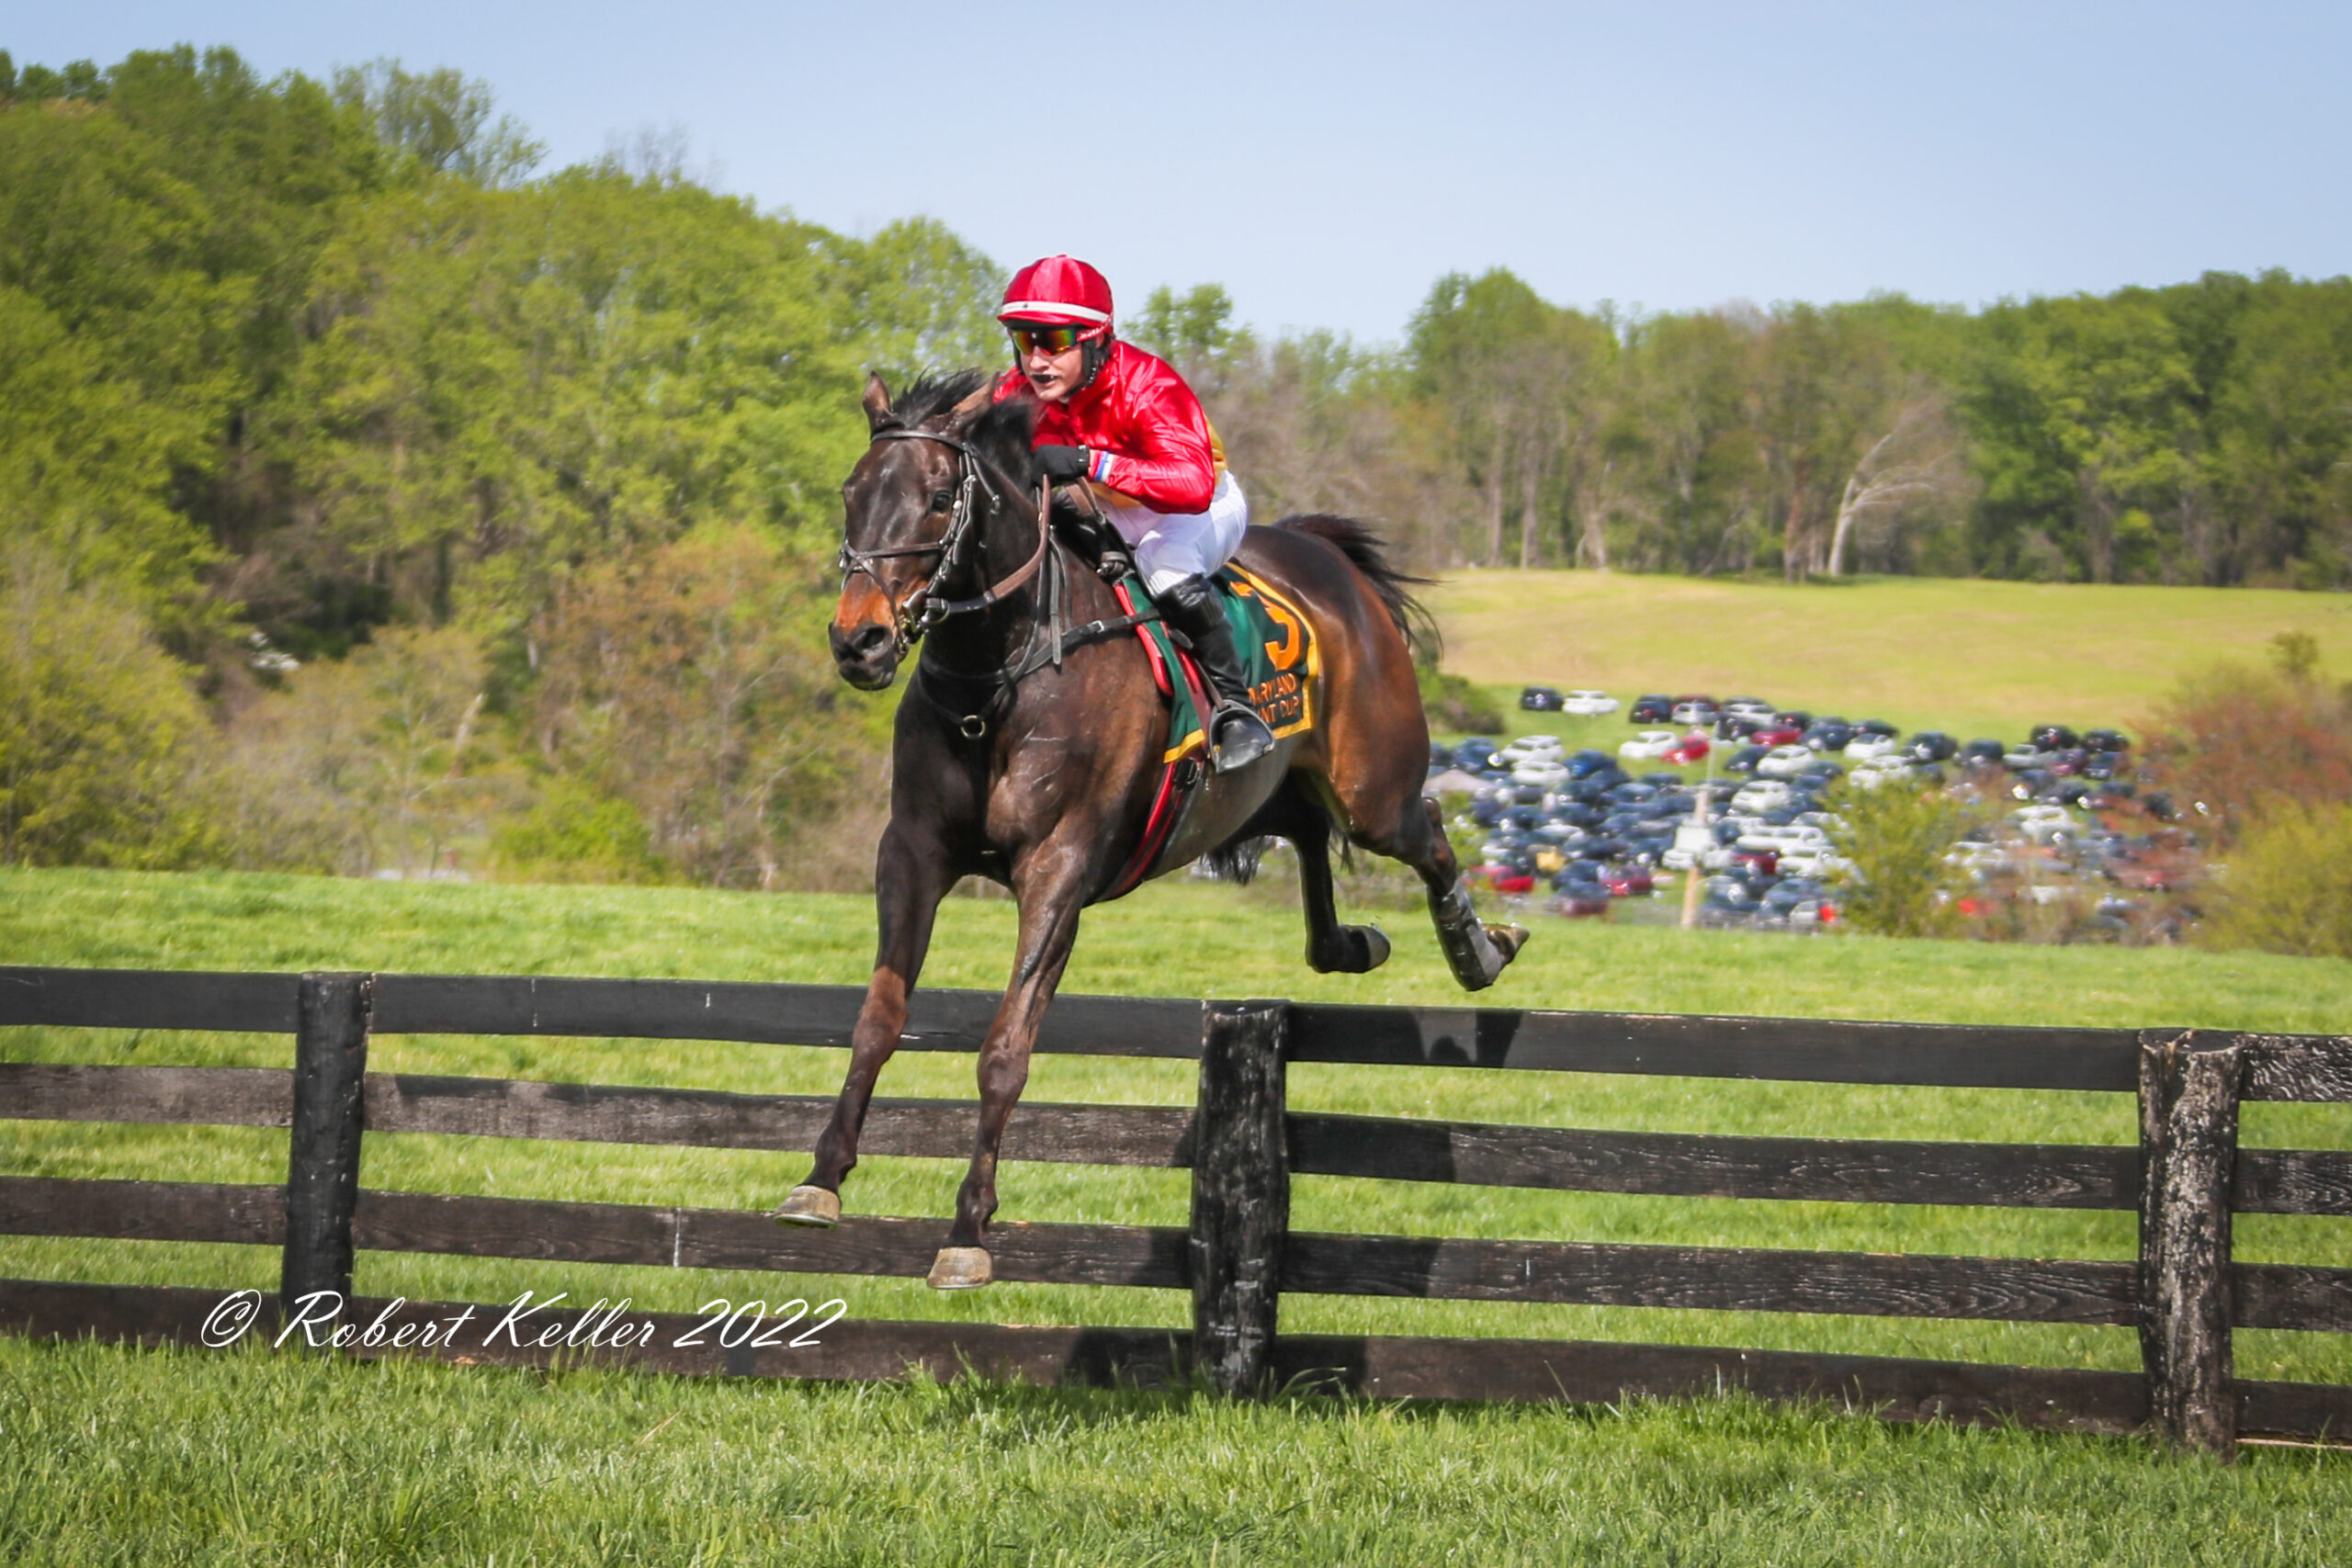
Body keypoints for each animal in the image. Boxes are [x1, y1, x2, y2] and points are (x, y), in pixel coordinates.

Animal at [775, 373, 1523, 1297]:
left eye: (941, 498)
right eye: (851, 493)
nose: (861, 640)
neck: (1002, 671)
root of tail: (1326, 556)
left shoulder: (1058, 870)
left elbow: (1004, 1049)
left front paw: (968, 1231)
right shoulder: (912, 853)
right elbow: (879, 1017)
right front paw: (821, 1177)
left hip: (1374, 787)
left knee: (1428, 832)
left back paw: (1479, 948)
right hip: (1278, 788)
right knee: (1310, 836)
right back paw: (1353, 942)